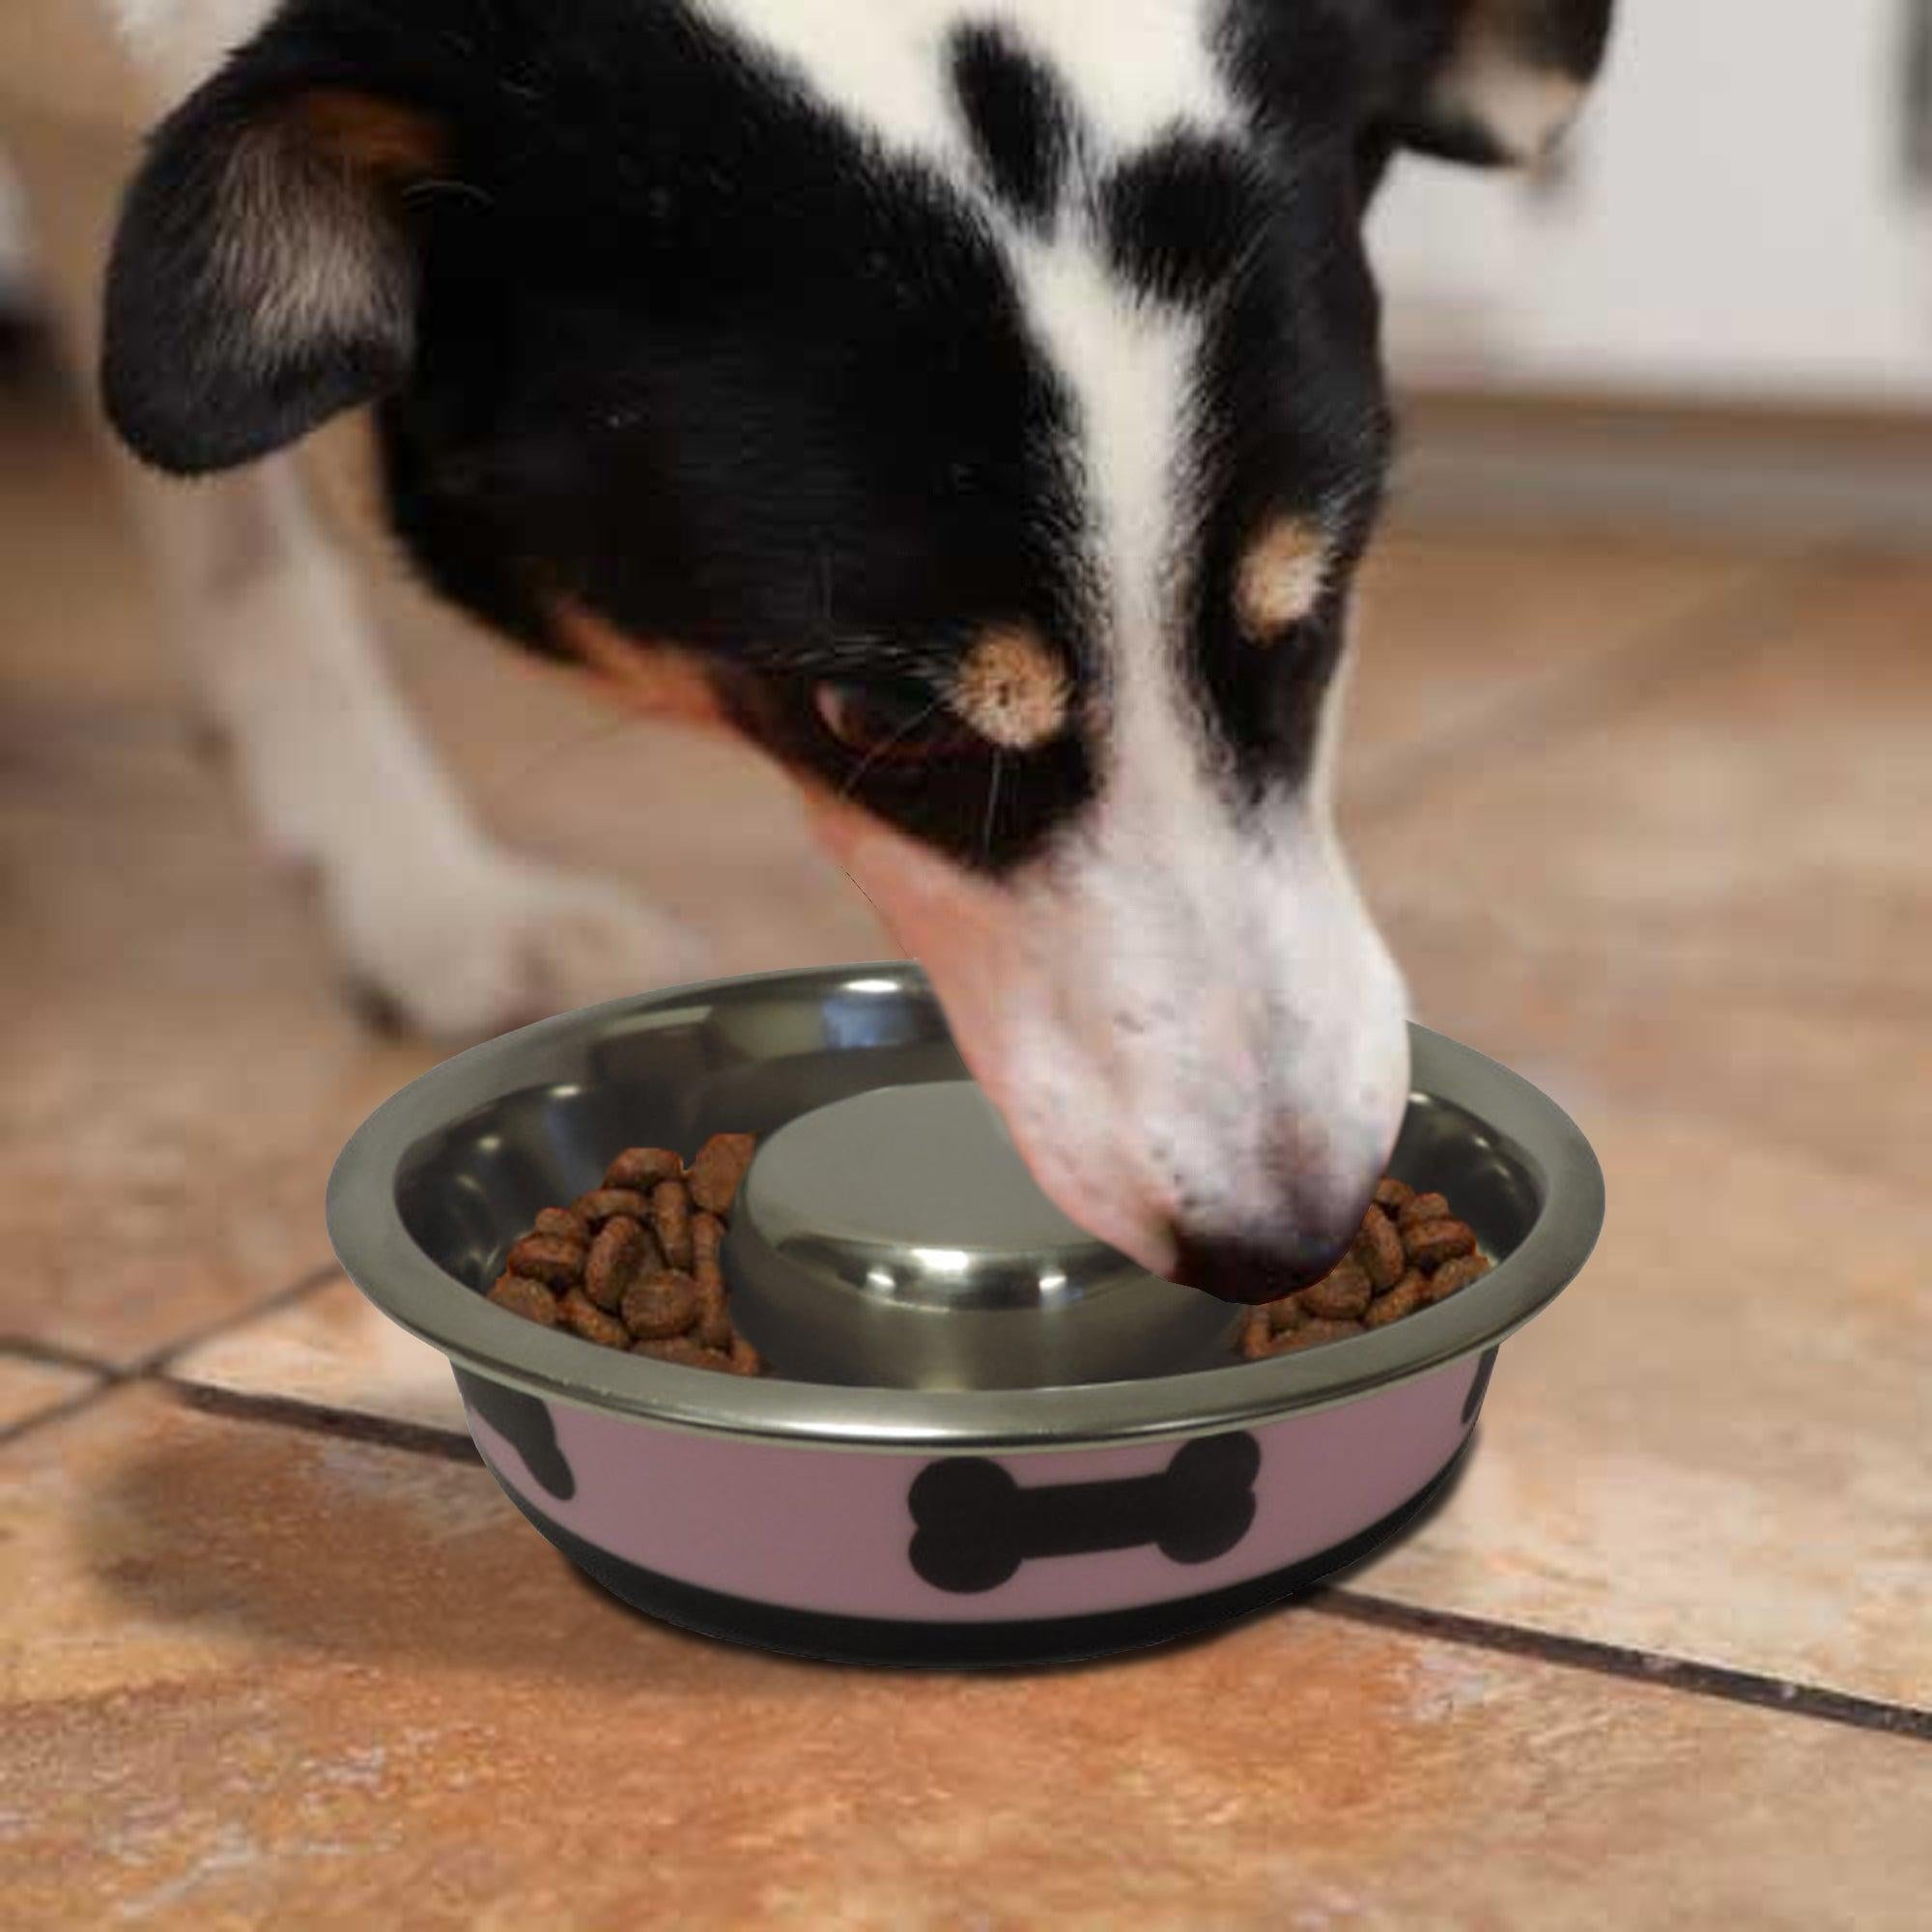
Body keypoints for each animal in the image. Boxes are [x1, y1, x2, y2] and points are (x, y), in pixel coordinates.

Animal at [94, 3, 1615, 1298]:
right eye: (885, 719)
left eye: (1322, 599)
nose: (1292, 1237)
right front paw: (416, 888)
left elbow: (241, 553)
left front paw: (423, 898)